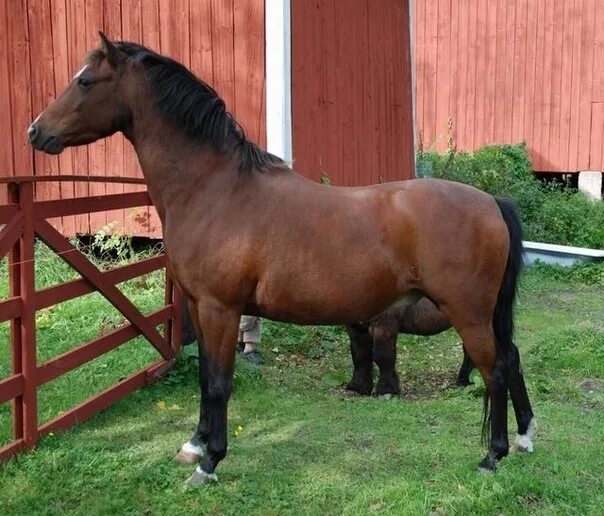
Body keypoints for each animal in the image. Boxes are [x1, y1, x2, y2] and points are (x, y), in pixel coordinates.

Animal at [28, 34, 536, 486]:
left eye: (86, 81)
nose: (36, 131)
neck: (214, 189)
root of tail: (491, 202)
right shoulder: (196, 305)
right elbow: (204, 377)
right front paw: (194, 444)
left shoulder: (221, 309)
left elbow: (219, 382)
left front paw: (209, 462)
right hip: (484, 315)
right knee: (510, 359)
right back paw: (526, 436)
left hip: (468, 314)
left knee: (495, 370)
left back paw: (493, 456)